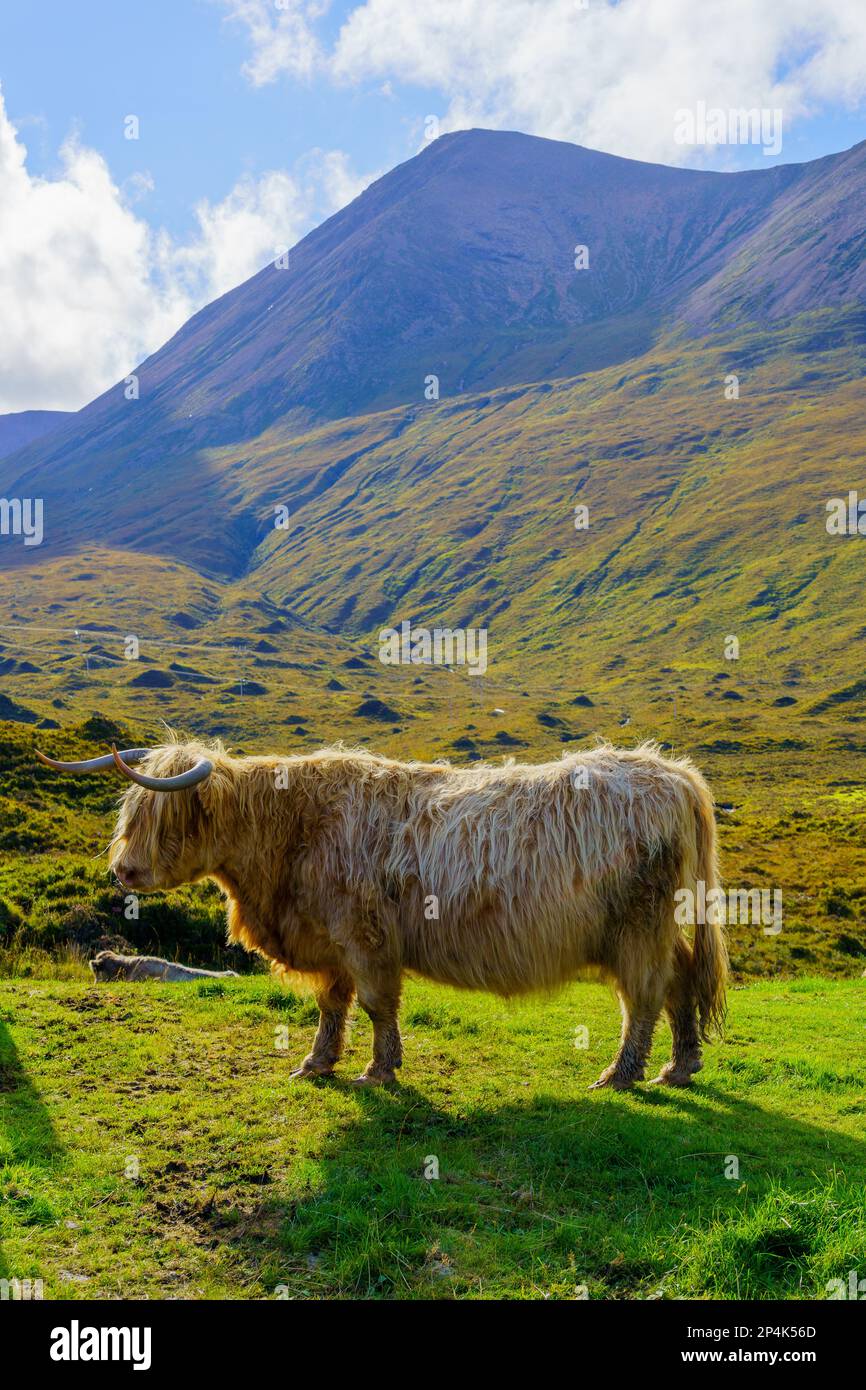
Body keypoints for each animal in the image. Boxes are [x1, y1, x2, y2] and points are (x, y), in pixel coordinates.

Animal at [37, 738, 727, 1089]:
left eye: (167, 814)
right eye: (130, 811)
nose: (123, 871)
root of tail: (674, 772)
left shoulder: (365, 938)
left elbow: (375, 1004)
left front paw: (378, 1070)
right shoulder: (328, 942)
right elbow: (331, 1006)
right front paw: (317, 1063)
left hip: (637, 927)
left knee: (644, 996)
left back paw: (623, 1073)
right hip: (660, 926)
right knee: (681, 982)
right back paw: (680, 1065)